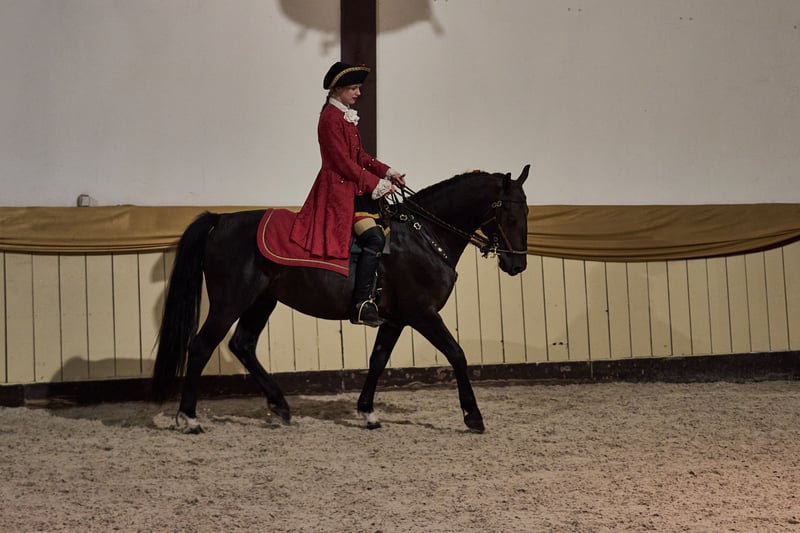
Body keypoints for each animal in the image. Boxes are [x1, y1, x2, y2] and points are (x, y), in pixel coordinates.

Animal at [151, 165, 530, 433]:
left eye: (528, 214)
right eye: (511, 216)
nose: (517, 265)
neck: (423, 236)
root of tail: (221, 221)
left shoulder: (396, 319)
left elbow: (378, 360)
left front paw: (367, 413)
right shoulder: (423, 314)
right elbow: (457, 354)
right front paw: (473, 416)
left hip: (262, 301)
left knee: (242, 345)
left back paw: (280, 406)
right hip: (230, 302)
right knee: (201, 347)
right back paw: (189, 418)